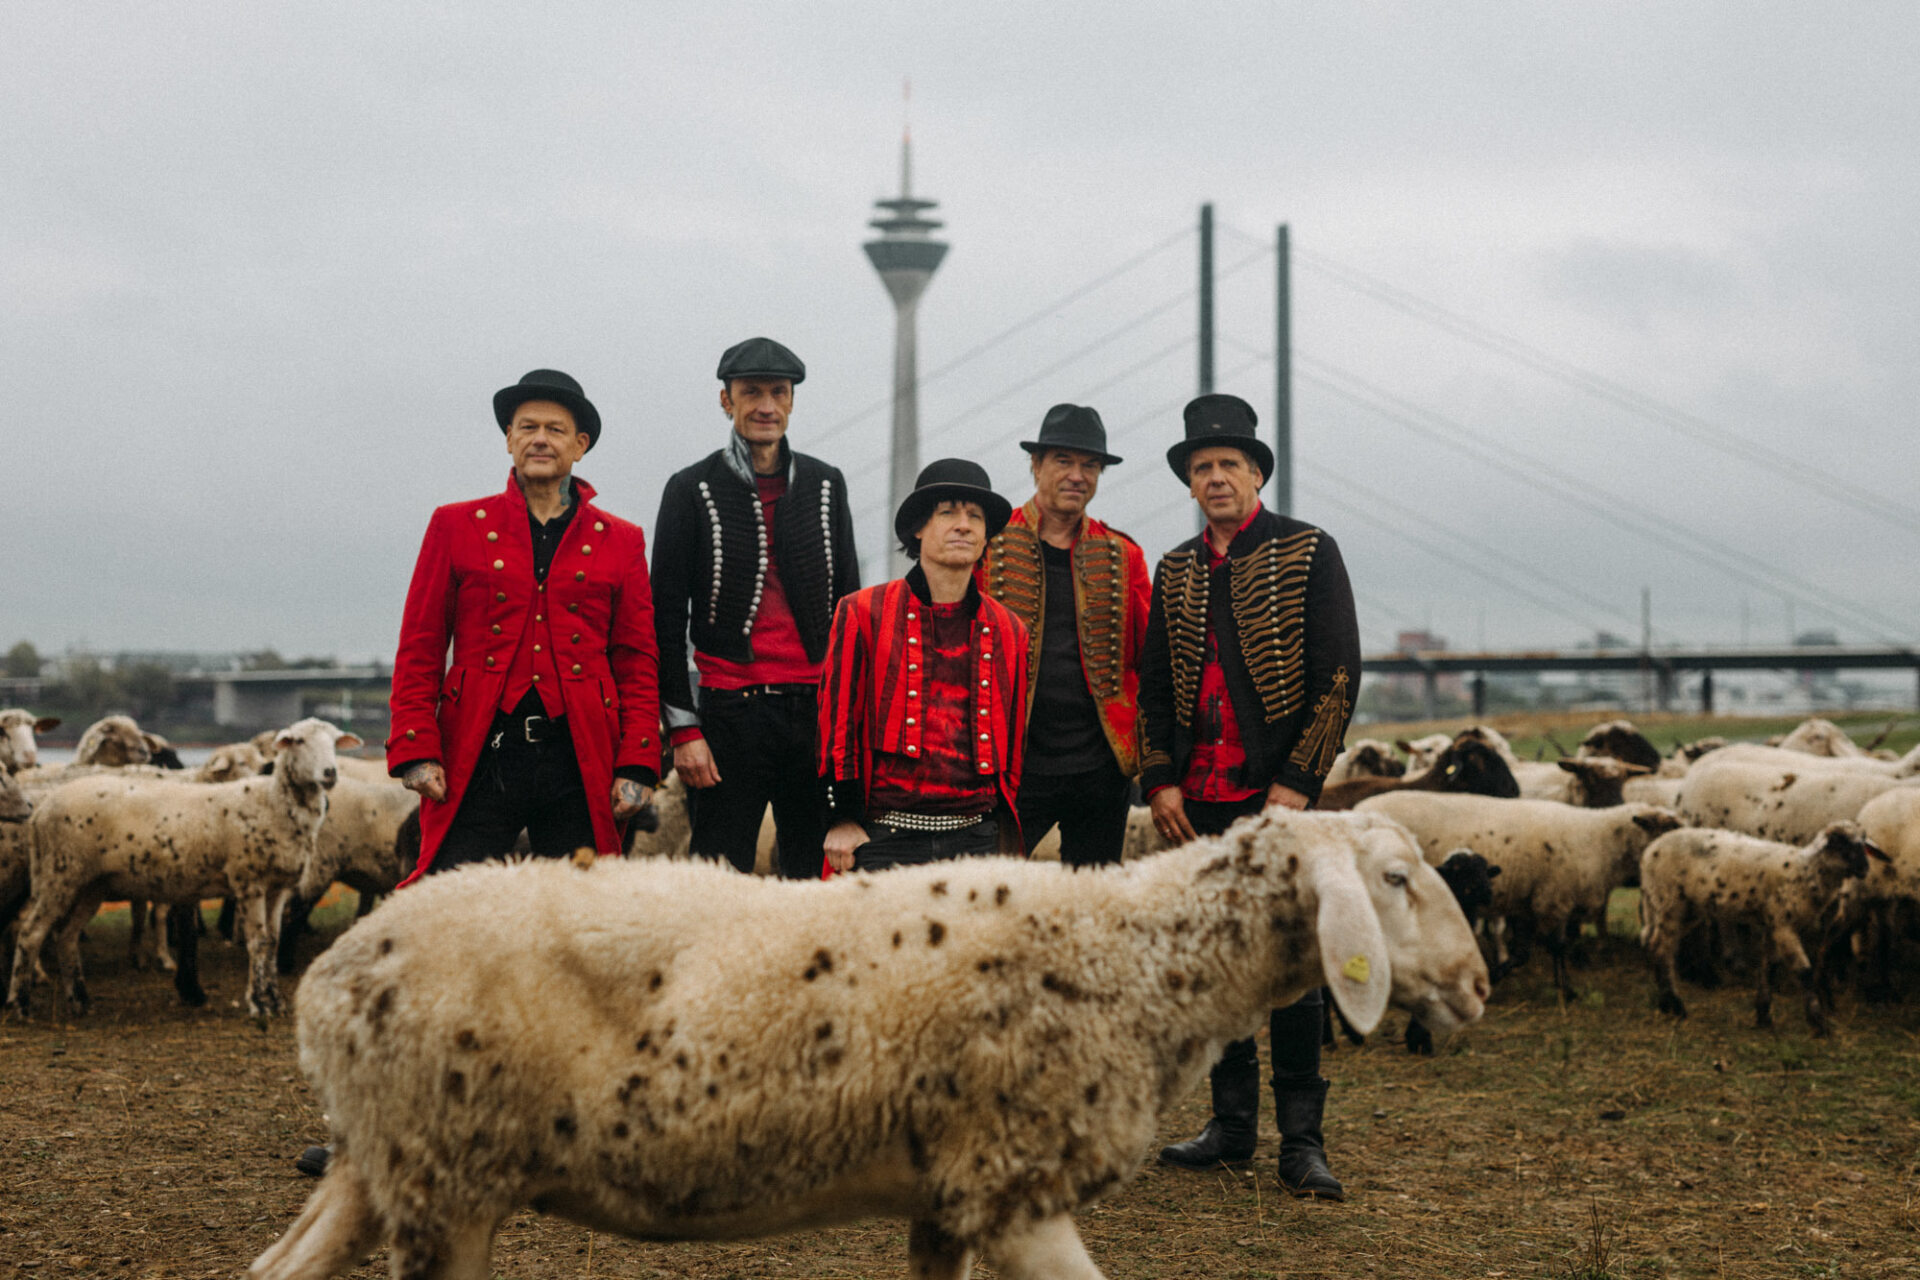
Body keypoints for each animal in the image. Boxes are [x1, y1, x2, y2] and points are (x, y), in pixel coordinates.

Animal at [6, 717, 360, 1013]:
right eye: (298, 741)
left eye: (334, 741)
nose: (330, 773)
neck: (272, 802)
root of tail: (40, 811)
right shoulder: (249, 882)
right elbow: (258, 943)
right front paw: (259, 1003)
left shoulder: (279, 886)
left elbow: (271, 942)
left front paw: (274, 1001)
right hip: (58, 874)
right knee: (30, 933)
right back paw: (20, 1003)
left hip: (91, 884)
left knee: (66, 935)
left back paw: (80, 999)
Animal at [247, 809, 1489, 1280]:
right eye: (1393, 878)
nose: (1478, 983)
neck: (1132, 952)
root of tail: (333, 972)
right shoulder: (1016, 1185)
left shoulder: (950, 1195)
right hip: (445, 1182)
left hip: (383, 1164)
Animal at [1351, 790, 1681, 997]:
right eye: (1666, 829)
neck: (1600, 841)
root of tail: (1354, 811)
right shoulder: (1553, 898)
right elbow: (1557, 946)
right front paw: (1565, 988)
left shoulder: (1530, 903)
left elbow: (1525, 953)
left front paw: (1501, 974)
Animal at [1635, 821, 1889, 1043]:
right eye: (1840, 842)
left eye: (1863, 844)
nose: (1864, 869)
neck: (1806, 871)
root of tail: (1649, 851)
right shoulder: (1783, 924)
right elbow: (1804, 972)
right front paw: (1819, 1024)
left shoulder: (1772, 924)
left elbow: (1769, 968)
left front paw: (1763, 1015)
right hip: (1668, 902)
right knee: (1662, 949)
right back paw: (1676, 1005)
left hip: (1686, 909)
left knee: (1655, 946)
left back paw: (1665, 1004)